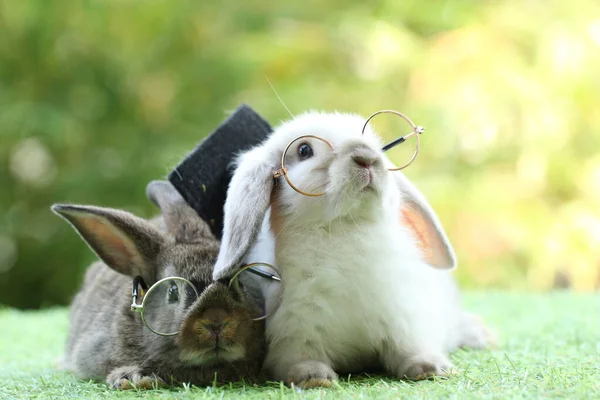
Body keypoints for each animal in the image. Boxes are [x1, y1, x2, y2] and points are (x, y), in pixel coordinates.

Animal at [213, 110, 494, 388]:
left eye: (376, 144)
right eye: (304, 150)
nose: (366, 158)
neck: (345, 227)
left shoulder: (404, 317)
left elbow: (408, 348)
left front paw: (432, 368)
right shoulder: (295, 330)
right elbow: (302, 358)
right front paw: (314, 378)